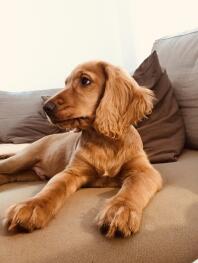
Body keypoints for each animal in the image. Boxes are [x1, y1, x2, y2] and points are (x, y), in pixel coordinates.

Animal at [0, 60, 162, 238]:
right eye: (65, 83)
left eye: (85, 81)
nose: (46, 107)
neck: (104, 141)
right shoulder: (71, 172)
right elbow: (52, 188)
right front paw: (32, 206)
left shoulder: (143, 171)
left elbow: (133, 188)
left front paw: (120, 210)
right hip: (19, 160)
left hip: (24, 173)